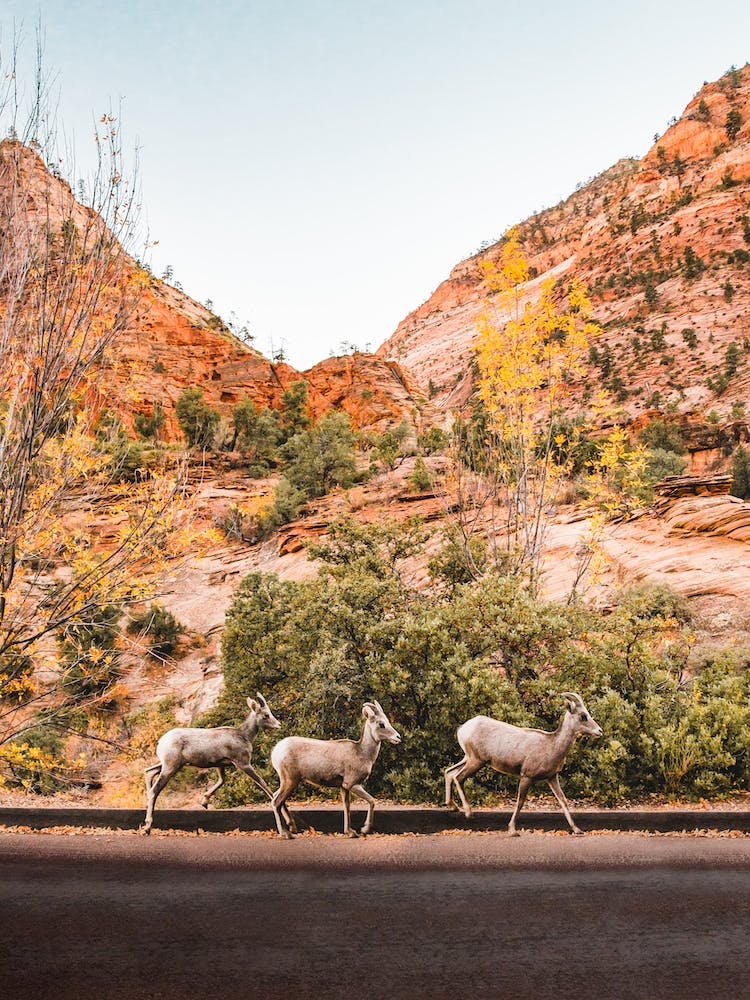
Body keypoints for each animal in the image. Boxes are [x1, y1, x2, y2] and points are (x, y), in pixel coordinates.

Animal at [141, 693, 280, 834]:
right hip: (170, 767)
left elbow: (222, 780)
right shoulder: (243, 763)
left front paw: (204, 802)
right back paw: (147, 827)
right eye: (266, 715)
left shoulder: (220, 765)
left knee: (149, 771)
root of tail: (161, 742)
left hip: (169, 765)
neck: (244, 736)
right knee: (154, 790)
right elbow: (262, 782)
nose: (279, 725)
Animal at [270, 700, 401, 839]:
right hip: (290, 780)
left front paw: (350, 832)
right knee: (276, 801)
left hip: (287, 781)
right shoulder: (352, 784)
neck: (362, 752)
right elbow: (371, 801)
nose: (398, 737)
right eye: (381, 724)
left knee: (276, 797)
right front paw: (364, 830)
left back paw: (292, 828)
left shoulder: (344, 787)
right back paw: (286, 833)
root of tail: (276, 751)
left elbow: (347, 806)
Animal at [444, 692, 602, 835]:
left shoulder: (552, 778)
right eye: (583, 716)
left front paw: (577, 830)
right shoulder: (526, 777)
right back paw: (469, 813)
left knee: (449, 772)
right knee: (458, 777)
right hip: (476, 761)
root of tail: (463, 728)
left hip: (468, 758)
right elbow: (520, 802)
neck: (551, 744)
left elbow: (563, 801)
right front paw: (512, 830)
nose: (600, 731)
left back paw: (453, 807)